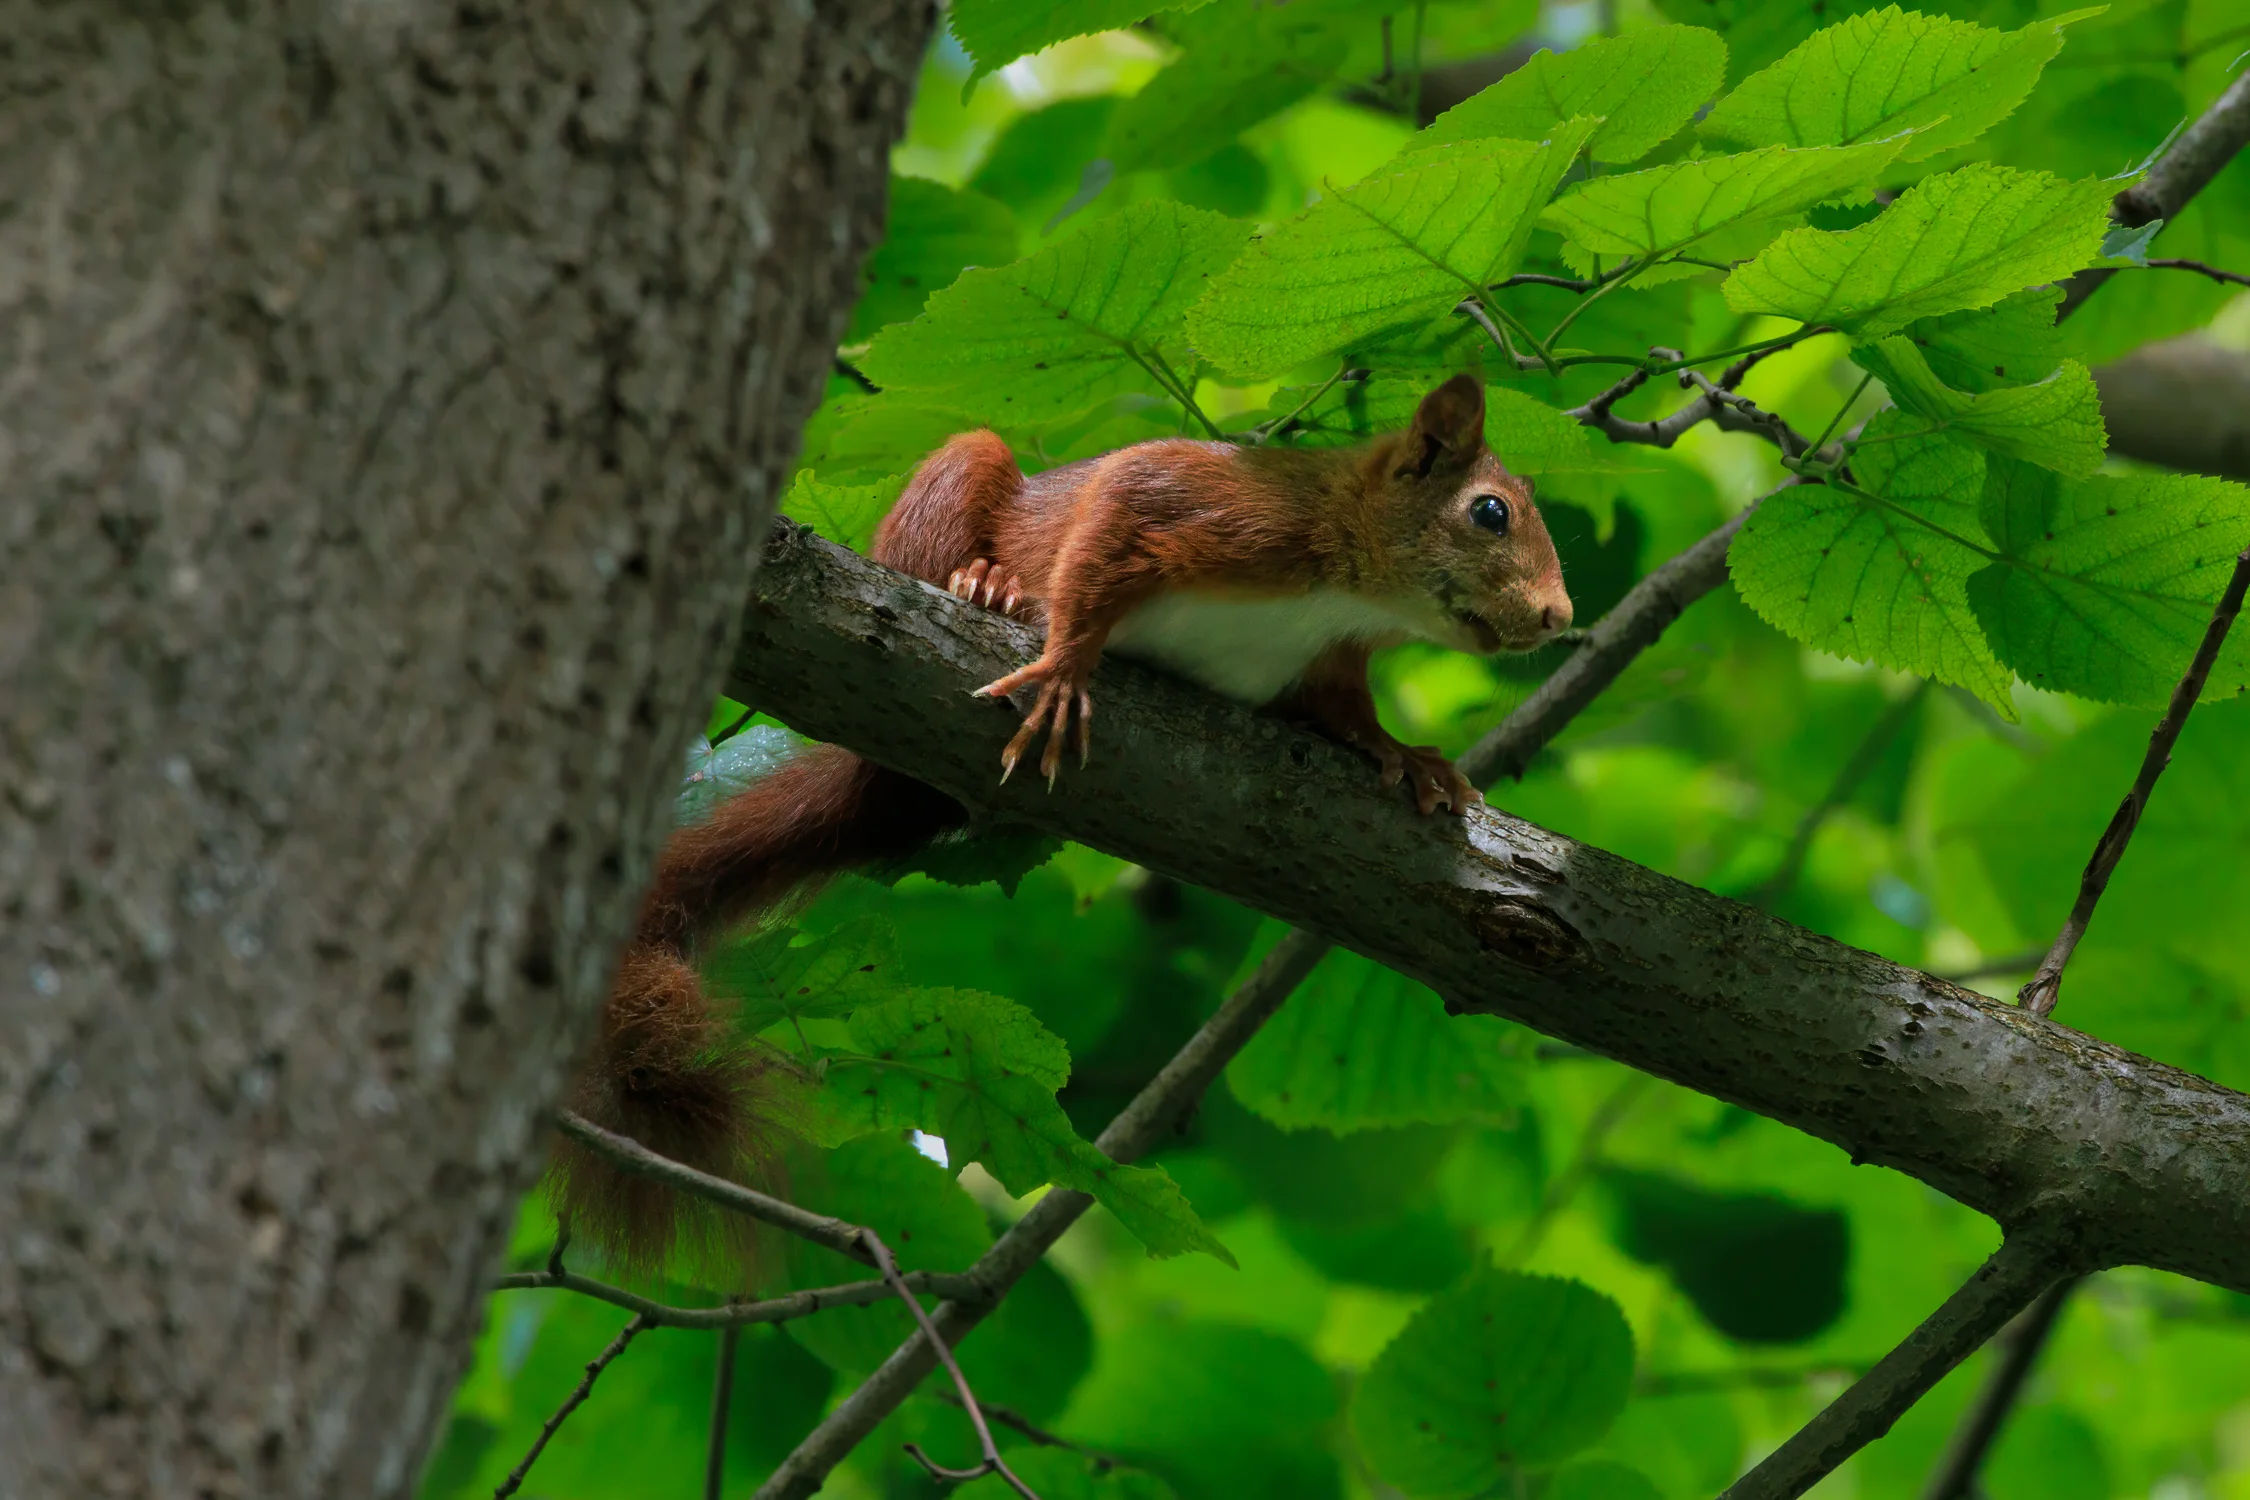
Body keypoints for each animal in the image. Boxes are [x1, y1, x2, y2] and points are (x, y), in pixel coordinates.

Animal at [551, 373, 1573, 1272]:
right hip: (954, 482)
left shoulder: (1323, 664)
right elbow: (1104, 531)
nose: (1560, 616)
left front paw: (1410, 759)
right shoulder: (1213, 505)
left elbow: (1350, 719)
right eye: (1490, 513)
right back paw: (984, 584)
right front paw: (1064, 663)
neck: (1343, 590)